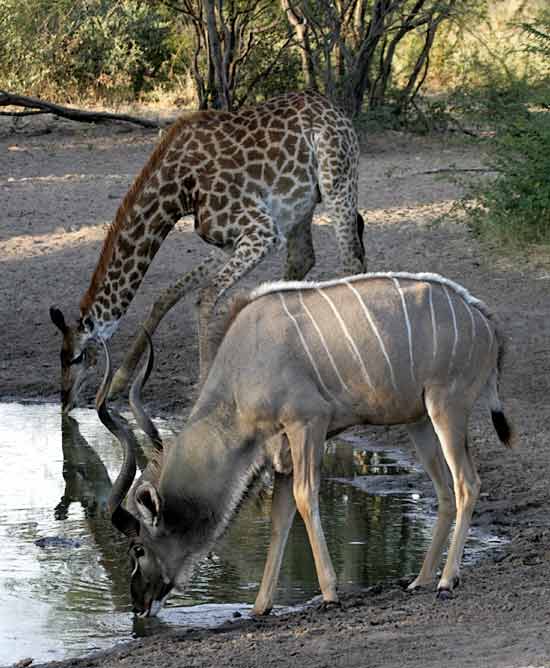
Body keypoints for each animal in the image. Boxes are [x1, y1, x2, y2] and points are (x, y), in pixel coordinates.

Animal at [50, 90, 366, 412]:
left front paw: (202, 389)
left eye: (77, 357)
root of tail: (336, 110)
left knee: (351, 260)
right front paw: (119, 380)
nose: (65, 401)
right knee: (304, 258)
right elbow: (169, 295)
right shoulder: (227, 241)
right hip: (300, 205)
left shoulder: (262, 231)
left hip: (336, 182)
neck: (178, 192)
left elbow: (204, 297)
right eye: (60, 357)